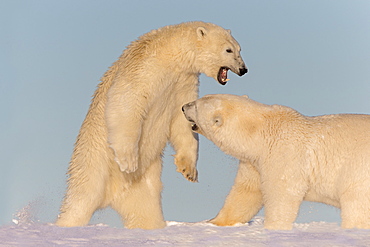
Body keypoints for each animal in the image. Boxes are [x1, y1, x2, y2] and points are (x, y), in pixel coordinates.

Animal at [57, 21, 249, 230]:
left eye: (239, 48)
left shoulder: (183, 82)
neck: (171, 52)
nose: (243, 69)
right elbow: (126, 101)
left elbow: (181, 118)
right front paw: (129, 161)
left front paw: (188, 170)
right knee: (80, 202)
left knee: (146, 212)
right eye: (228, 49)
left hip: (142, 186)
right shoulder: (145, 68)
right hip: (93, 165)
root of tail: (112, 195)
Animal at [182, 93, 370, 230]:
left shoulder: (284, 156)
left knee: (355, 205)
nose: (183, 107)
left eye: (196, 105)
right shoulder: (254, 163)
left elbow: (282, 194)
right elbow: (245, 192)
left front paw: (273, 228)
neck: (262, 131)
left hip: (358, 171)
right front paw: (215, 222)